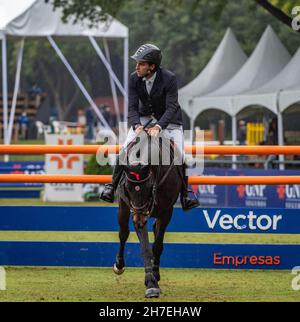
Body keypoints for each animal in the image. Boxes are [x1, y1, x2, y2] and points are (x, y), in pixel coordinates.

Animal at [112, 132, 183, 298]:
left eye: (149, 187)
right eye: (127, 187)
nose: (139, 220)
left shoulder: (166, 211)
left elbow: (157, 246)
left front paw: (154, 278)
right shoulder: (135, 211)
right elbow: (145, 248)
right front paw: (151, 283)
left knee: (156, 231)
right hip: (124, 208)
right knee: (123, 233)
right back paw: (119, 265)